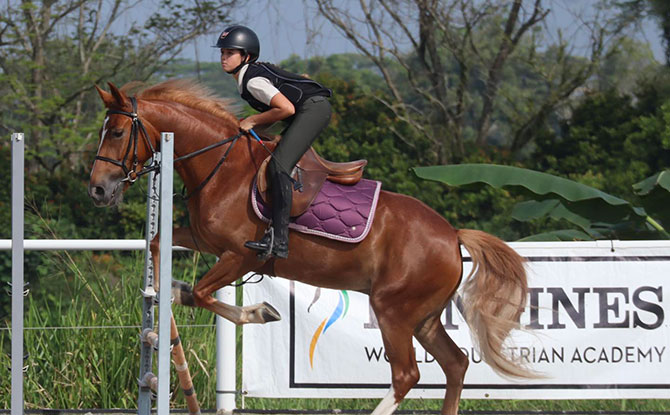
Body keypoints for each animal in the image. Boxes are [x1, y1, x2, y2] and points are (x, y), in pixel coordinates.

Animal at [88, 79, 533, 415]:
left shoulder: (240, 255)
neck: (222, 166)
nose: (98, 190)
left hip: (394, 312)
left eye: (117, 133)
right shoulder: (205, 239)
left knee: (407, 374)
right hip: (422, 317)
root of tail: (452, 235)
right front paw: (166, 290)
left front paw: (258, 311)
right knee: (455, 364)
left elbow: (202, 294)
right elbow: (159, 244)